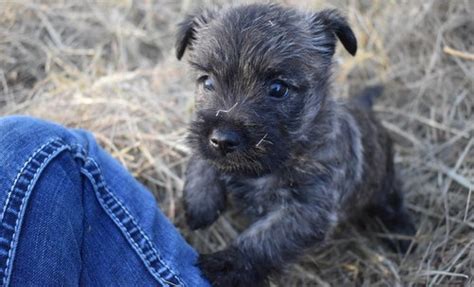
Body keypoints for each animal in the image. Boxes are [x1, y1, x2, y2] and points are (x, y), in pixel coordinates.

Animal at [175, 3, 414, 286]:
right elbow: (202, 158)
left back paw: (402, 232)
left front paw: (227, 264)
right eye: (207, 81)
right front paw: (201, 201)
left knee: (392, 203)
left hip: (384, 185)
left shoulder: (307, 210)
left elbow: (265, 241)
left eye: (278, 88)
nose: (222, 139)